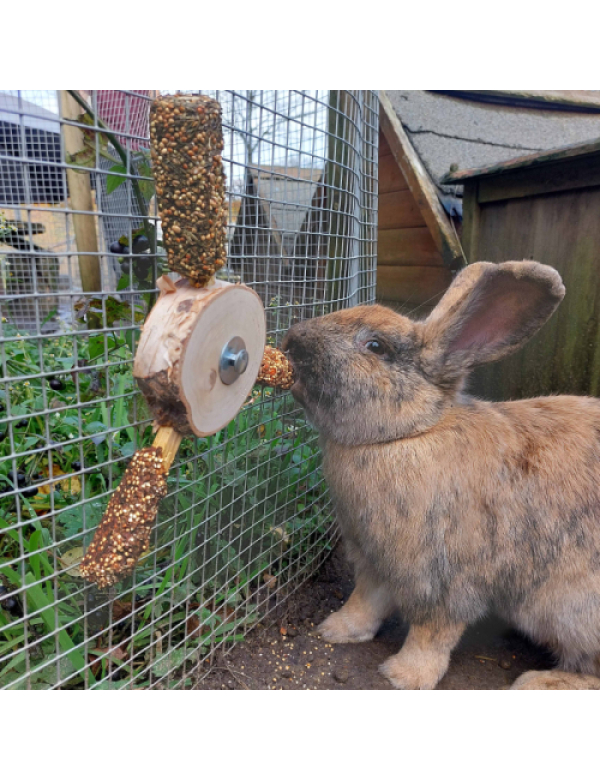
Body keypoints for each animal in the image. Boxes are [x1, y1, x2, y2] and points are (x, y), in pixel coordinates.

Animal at [282, 262, 600, 688]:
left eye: (376, 346)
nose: (291, 339)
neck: (408, 433)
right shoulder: (374, 563)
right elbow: (365, 602)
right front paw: (335, 630)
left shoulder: (444, 582)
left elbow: (433, 632)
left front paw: (403, 677)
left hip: (569, 609)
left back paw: (538, 682)